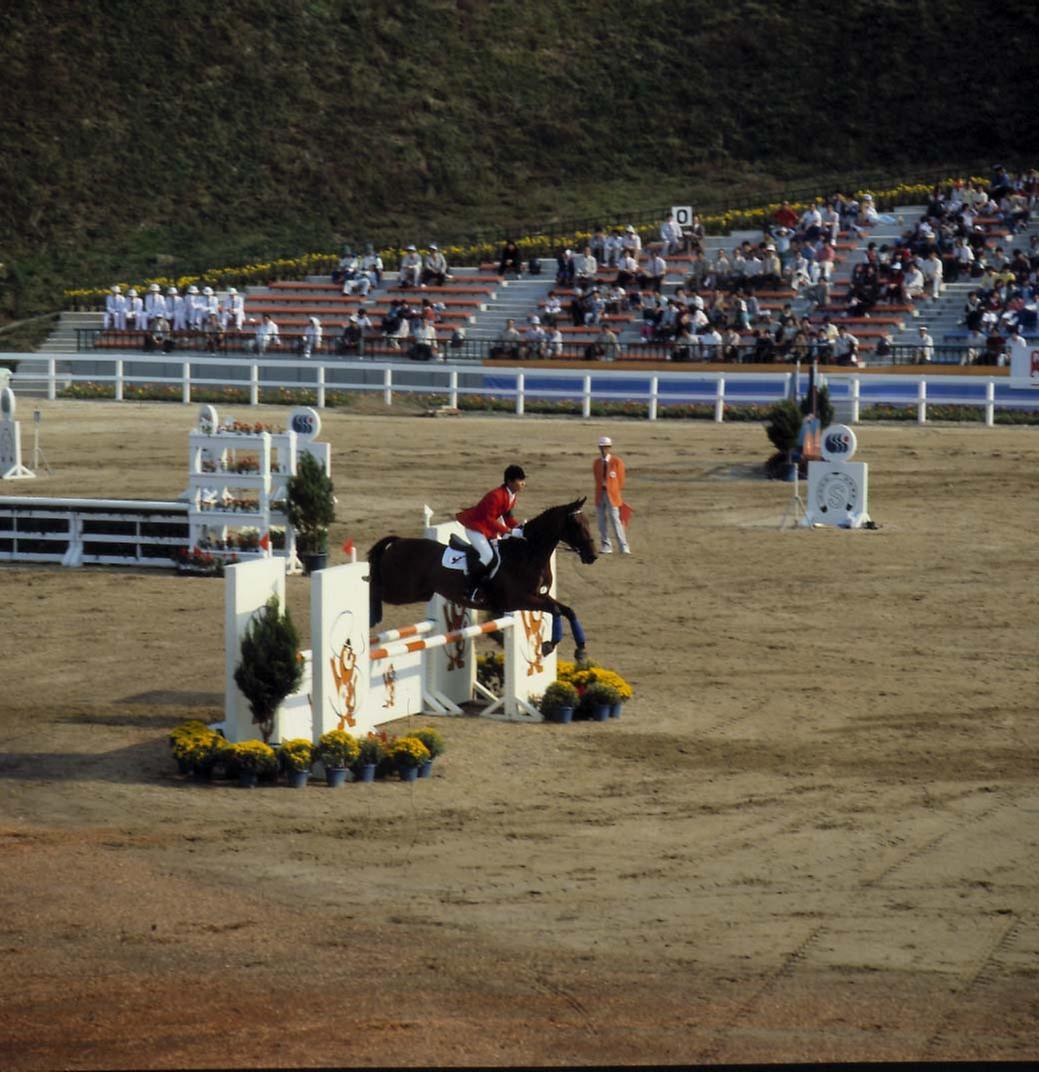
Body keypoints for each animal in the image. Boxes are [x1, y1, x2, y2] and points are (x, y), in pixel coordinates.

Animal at [366, 495, 596, 660]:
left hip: (421, 592)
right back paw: (372, 615)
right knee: (375, 588)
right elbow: (556, 610)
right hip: (402, 590)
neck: (528, 553)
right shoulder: (520, 600)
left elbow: (567, 611)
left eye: (588, 522)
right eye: (576, 524)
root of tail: (399, 541)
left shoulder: (539, 596)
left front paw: (580, 650)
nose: (592, 555)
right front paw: (549, 645)